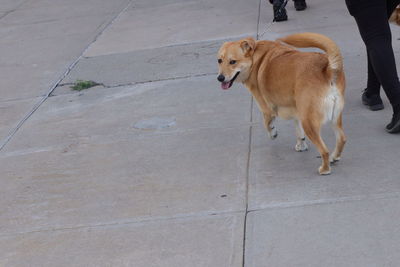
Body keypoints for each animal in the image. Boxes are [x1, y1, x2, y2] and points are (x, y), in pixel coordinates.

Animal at [217, 32, 346, 175]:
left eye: (233, 62)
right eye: (219, 61)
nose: (220, 78)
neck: (255, 58)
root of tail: (328, 69)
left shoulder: (266, 109)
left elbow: (267, 124)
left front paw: (273, 133)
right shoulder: (296, 110)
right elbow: (298, 131)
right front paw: (301, 144)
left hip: (309, 122)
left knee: (324, 150)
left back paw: (325, 168)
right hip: (334, 118)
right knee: (342, 139)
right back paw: (334, 157)